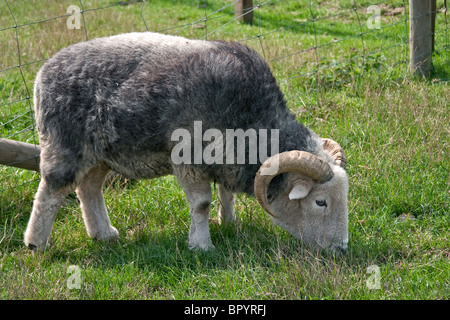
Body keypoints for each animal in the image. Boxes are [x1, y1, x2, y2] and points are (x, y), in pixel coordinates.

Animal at [23, 32, 348, 255]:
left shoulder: (223, 158)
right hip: (63, 144)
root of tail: (43, 72)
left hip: (101, 154)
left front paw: (228, 223)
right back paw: (36, 244)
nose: (341, 249)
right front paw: (202, 246)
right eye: (320, 201)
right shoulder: (189, 159)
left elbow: (226, 194)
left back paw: (104, 234)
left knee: (88, 189)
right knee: (51, 191)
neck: (251, 119)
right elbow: (202, 204)